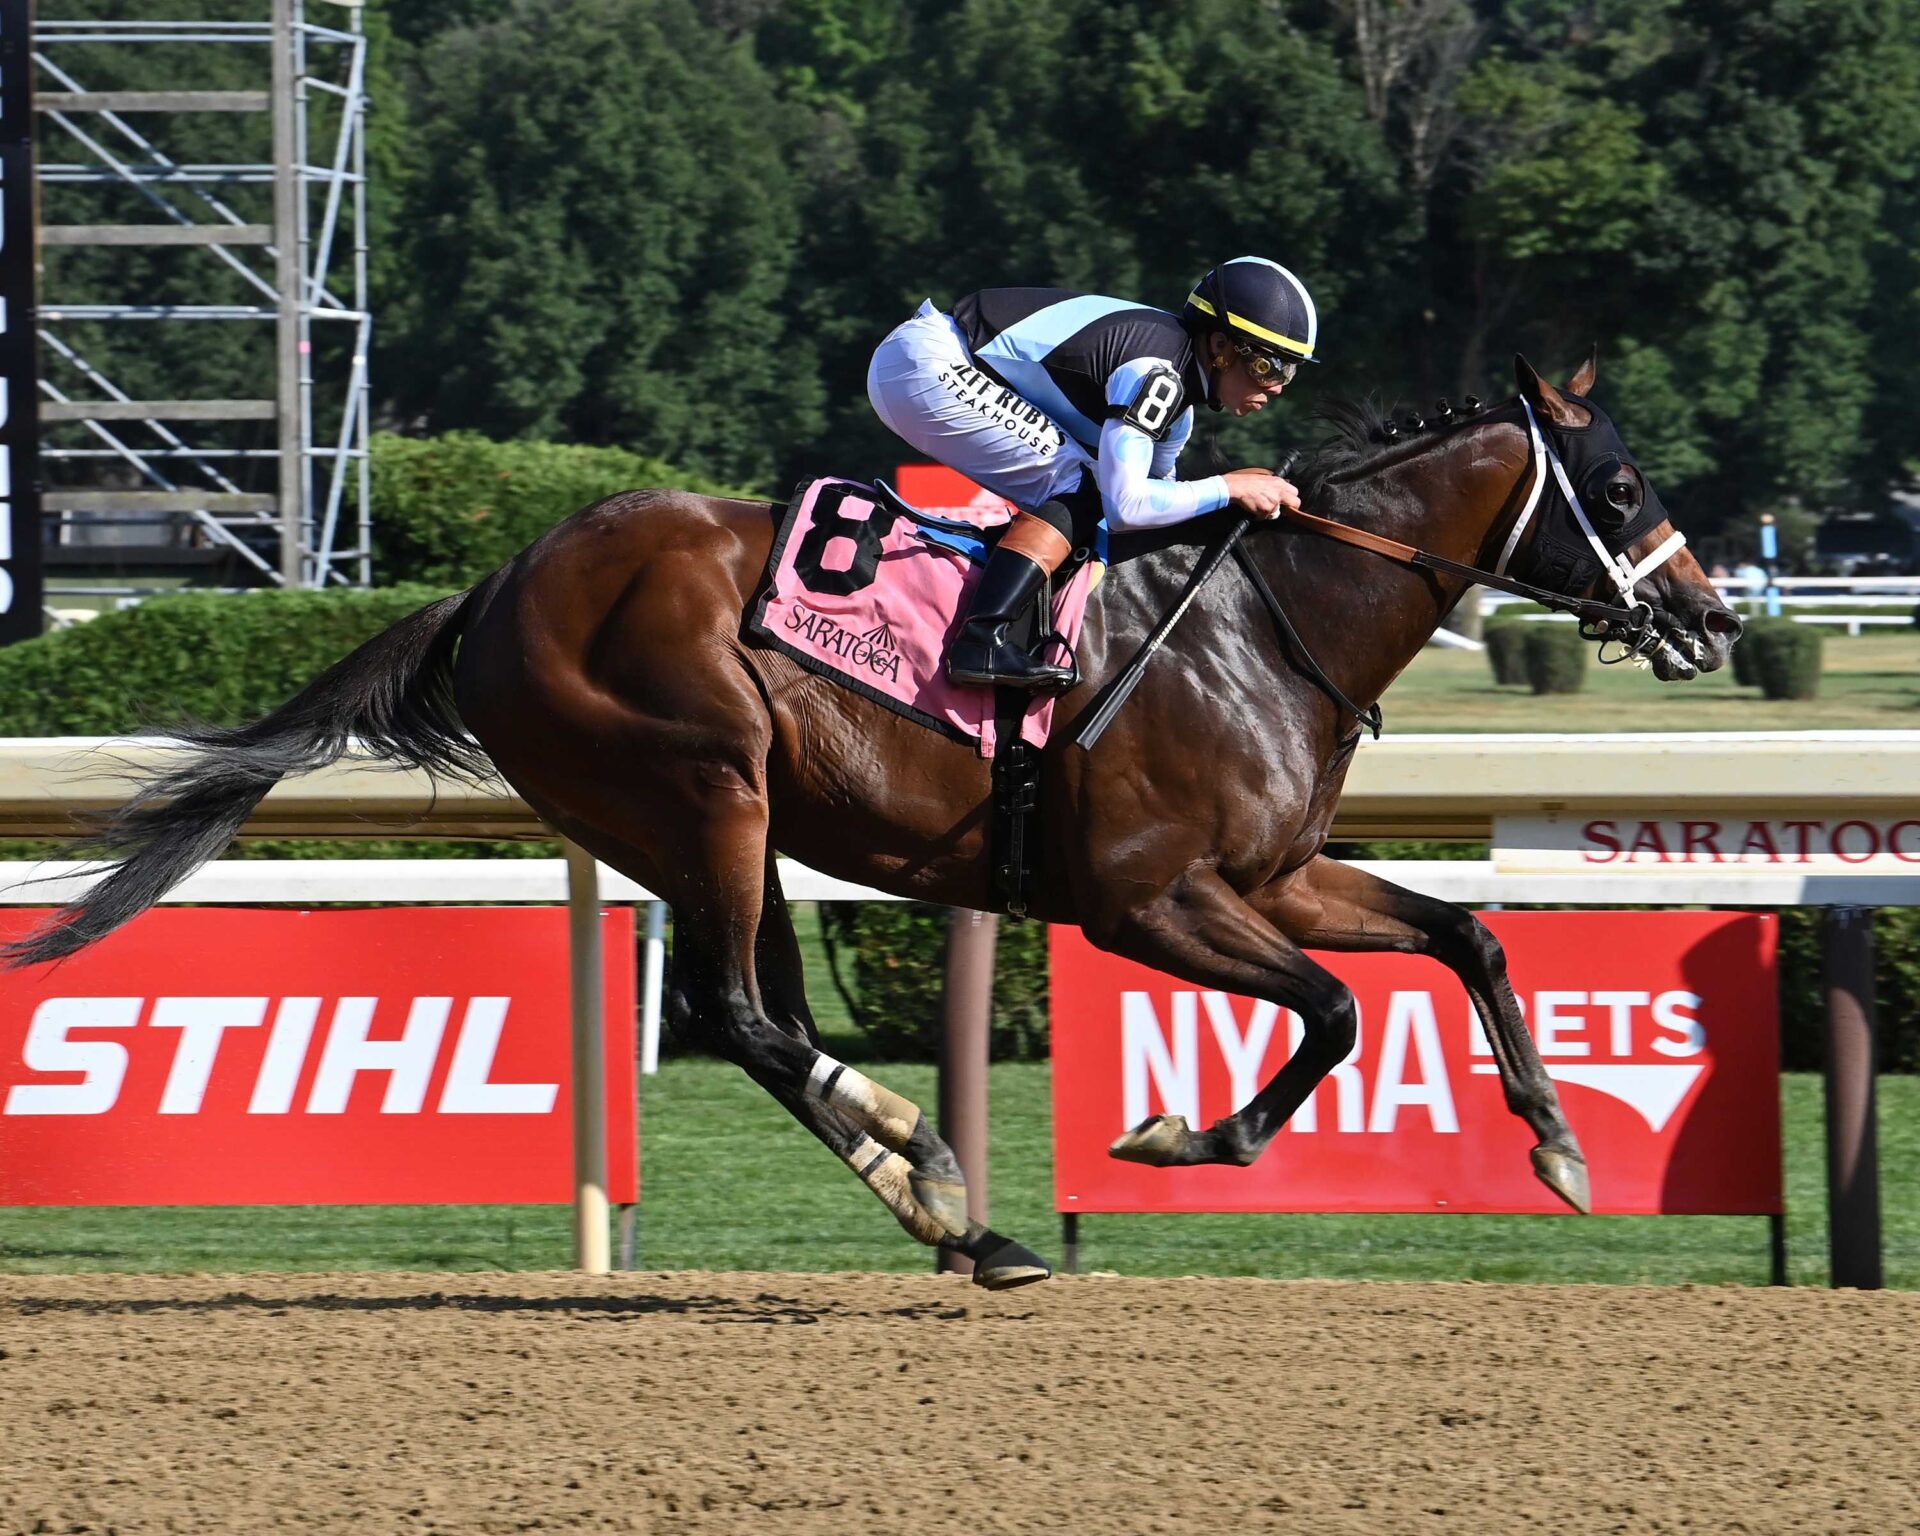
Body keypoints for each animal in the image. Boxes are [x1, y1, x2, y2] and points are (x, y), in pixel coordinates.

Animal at [5, 353, 1741, 1288]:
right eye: (1623, 483)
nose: (1714, 621)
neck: (1273, 620)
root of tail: (496, 584)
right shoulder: (1148, 899)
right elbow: (1330, 1016)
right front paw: (1182, 1133)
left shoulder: (1279, 874)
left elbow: (1465, 935)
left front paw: (1561, 1145)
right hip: (702, 783)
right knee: (736, 1012)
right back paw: (938, 1173)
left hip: (723, 820)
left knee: (761, 1017)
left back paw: (942, 1200)